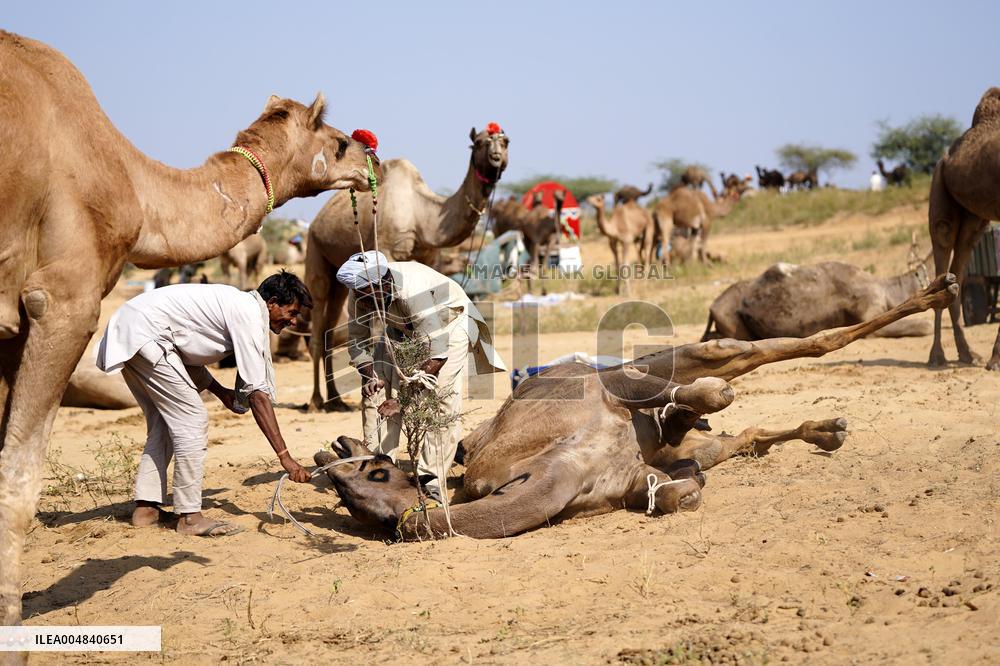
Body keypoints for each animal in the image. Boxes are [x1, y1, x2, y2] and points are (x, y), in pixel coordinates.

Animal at [0, 30, 376, 632]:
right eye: (341, 142)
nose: (372, 162)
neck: (132, 182)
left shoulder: (9, 326)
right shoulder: (61, 300)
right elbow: (18, 479)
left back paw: (149, 514)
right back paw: (194, 520)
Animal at [306, 125, 509, 411]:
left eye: (506, 141)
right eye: (479, 143)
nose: (496, 159)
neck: (422, 214)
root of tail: (317, 219)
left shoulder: (429, 257)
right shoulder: (386, 249)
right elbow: (375, 331)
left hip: (336, 273)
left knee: (328, 327)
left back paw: (336, 400)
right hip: (314, 248)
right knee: (317, 320)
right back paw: (315, 401)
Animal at [316, 274, 958, 539]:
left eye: (375, 471)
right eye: (353, 497)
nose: (333, 452)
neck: (563, 470)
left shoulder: (606, 392)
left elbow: (707, 396)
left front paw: (690, 407)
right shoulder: (633, 477)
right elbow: (678, 490)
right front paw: (680, 463)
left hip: (650, 364)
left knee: (762, 350)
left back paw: (939, 290)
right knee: (739, 433)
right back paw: (826, 428)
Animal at [927, 87, 1000, 371]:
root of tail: (945, 157)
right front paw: (996, 360)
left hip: (974, 219)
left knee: (957, 272)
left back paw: (968, 354)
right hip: (939, 187)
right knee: (942, 247)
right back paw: (937, 357)